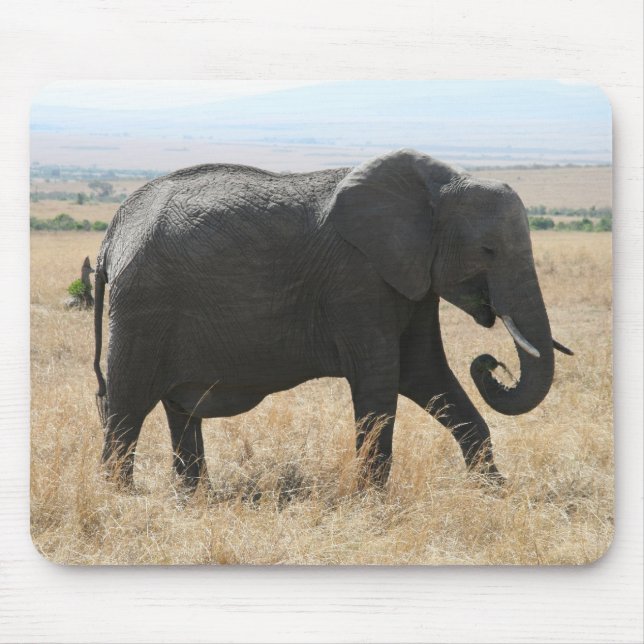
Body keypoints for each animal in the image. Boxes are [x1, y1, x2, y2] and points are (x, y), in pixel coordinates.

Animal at [93, 148, 572, 490]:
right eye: (488, 251)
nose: (491, 363)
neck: (437, 188)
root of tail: (113, 231)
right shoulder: (357, 279)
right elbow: (381, 380)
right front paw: (370, 501)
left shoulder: (409, 278)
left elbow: (426, 374)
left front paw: (495, 491)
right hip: (142, 307)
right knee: (127, 405)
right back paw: (119, 496)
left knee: (178, 408)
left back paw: (194, 498)